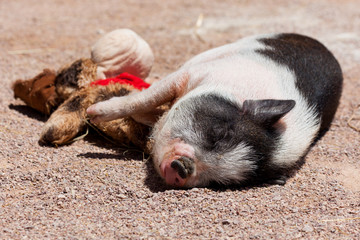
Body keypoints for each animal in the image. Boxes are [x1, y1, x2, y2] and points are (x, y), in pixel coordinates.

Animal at [87, 33, 344, 188]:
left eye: (221, 182)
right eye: (218, 135)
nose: (184, 167)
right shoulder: (193, 74)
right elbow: (144, 100)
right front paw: (93, 113)